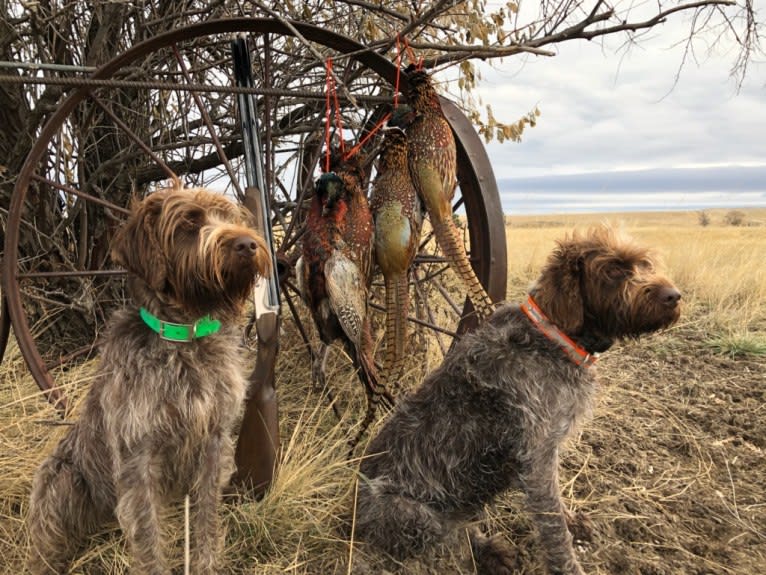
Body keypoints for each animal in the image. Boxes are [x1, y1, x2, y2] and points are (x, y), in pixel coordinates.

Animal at [27, 187, 272, 572]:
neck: (185, 339)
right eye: (189, 223)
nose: (247, 244)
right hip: (60, 478)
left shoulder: (213, 444)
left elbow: (205, 520)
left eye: (231, 218)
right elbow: (148, 538)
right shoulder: (137, 458)